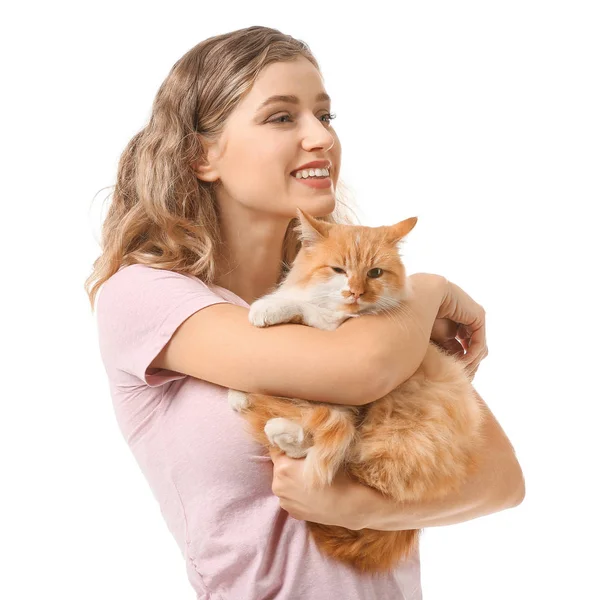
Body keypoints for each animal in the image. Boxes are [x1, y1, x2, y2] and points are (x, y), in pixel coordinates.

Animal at [227, 209, 486, 576]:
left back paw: (281, 431)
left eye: (374, 273)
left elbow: (307, 310)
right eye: (338, 270)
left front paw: (268, 309)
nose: (355, 293)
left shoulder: (336, 330)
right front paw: (239, 390)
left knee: (344, 454)